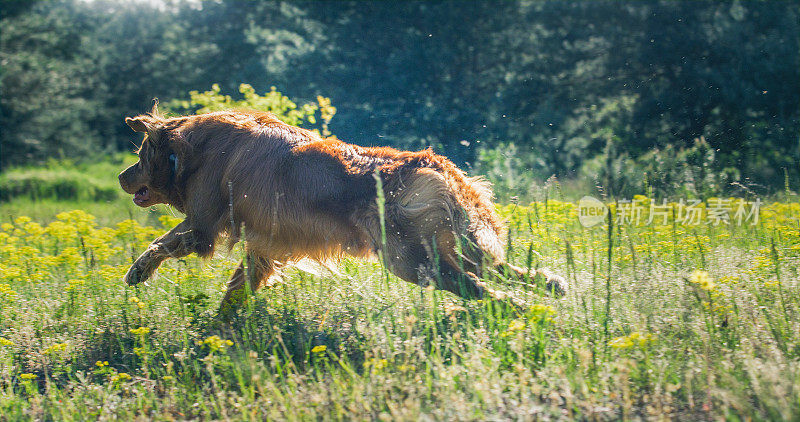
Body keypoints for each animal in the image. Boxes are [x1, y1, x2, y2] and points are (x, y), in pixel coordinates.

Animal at [119, 107, 564, 308]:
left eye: (139, 156)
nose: (122, 177)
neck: (190, 150)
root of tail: (435, 164)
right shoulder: (262, 245)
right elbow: (237, 289)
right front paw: (221, 331)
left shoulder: (203, 224)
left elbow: (162, 242)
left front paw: (138, 271)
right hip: (448, 245)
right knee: (501, 270)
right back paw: (551, 286)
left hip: (410, 260)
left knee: (477, 286)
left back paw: (515, 308)